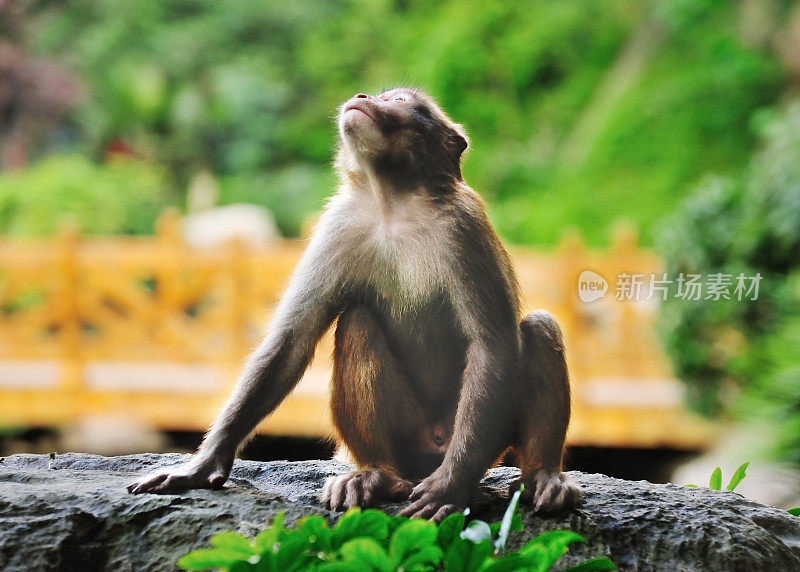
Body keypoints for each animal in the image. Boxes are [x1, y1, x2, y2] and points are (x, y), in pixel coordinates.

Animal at [130, 87, 580, 520]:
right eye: (381, 94)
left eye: (398, 100)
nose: (364, 98)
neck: (395, 205)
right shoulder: (338, 225)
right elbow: (291, 340)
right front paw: (202, 465)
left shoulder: (464, 227)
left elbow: (492, 345)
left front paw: (452, 484)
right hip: (407, 436)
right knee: (357, 322)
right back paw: (376, 475)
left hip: (479, 436)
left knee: (539, 328)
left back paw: (541, 474)